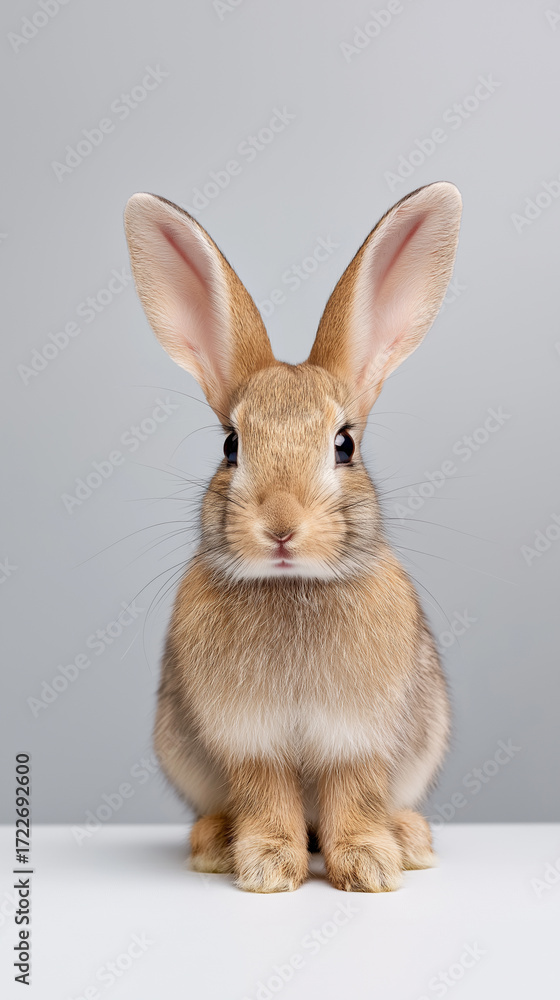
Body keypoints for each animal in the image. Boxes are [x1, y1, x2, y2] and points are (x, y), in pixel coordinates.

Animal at [124, 181, 462, 893]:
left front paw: (370, 865)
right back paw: (212, 844)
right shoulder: (249, 742)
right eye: (231, 446)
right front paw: (268, 867)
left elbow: (354, 795)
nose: (280, 527)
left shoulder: (358, 739)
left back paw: (410, 840)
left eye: (344, 445)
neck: (294, 586)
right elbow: (267, 794)